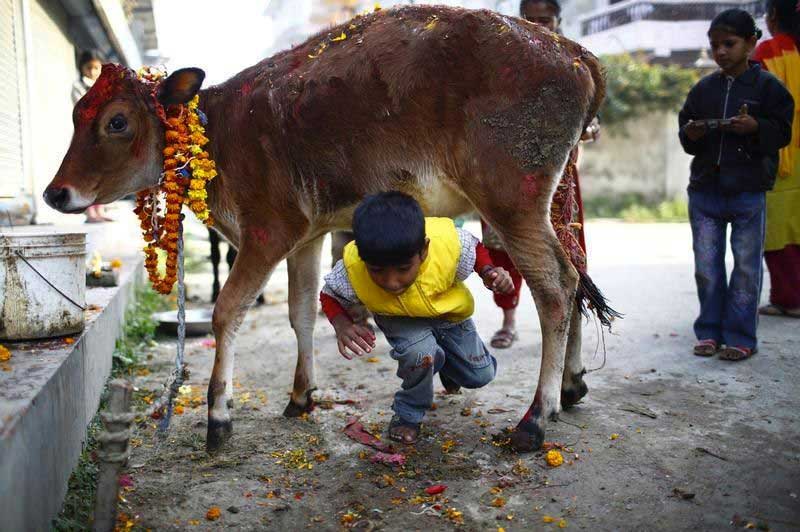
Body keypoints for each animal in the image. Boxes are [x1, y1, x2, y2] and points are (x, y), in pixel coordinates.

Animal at [43, 5, 608, 454]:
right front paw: (301, 395)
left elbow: (228, 312)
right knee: (579, 273)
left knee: (556, 286)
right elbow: (302, 313)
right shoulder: (307, 234)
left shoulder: (268, 230)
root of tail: (573, 51)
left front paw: (218, 416)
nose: (56, 193)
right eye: (74, 114)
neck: (219, 134)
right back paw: (572, 386)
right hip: (552, 201)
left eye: (117, 121)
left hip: (514, 201)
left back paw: (535, 420)